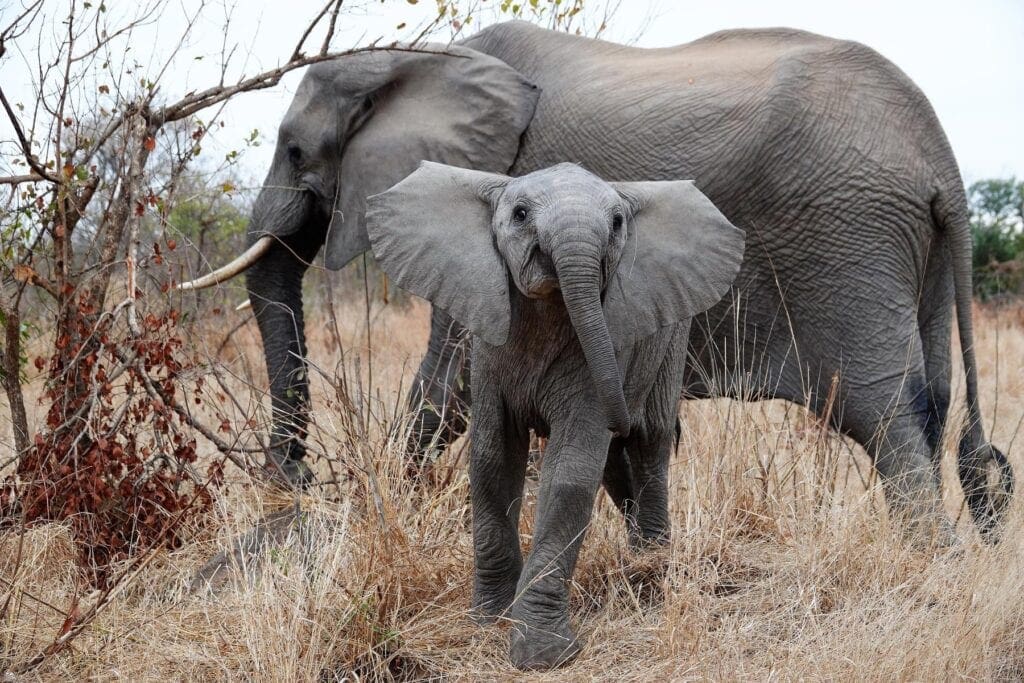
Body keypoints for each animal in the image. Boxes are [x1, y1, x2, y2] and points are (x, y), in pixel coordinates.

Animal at [180, 21, 1011, 540]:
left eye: (294, 150)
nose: (295, 480)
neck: (415, 60)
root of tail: (942, 160)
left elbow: (450, 384)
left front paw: (383, 511)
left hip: (848, 239)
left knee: (884, 415)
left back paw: (929, 568)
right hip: (910, 254)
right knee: (932, 405)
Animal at [368, 162, 745, 671]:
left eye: (618, 223)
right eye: (520, 214)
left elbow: (568, 474)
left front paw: (541, 654)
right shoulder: (488, 350)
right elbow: (492, 463)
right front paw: (487, 622)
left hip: (671, 339)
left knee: (649, 444)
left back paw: (652, 572)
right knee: (616, 459)